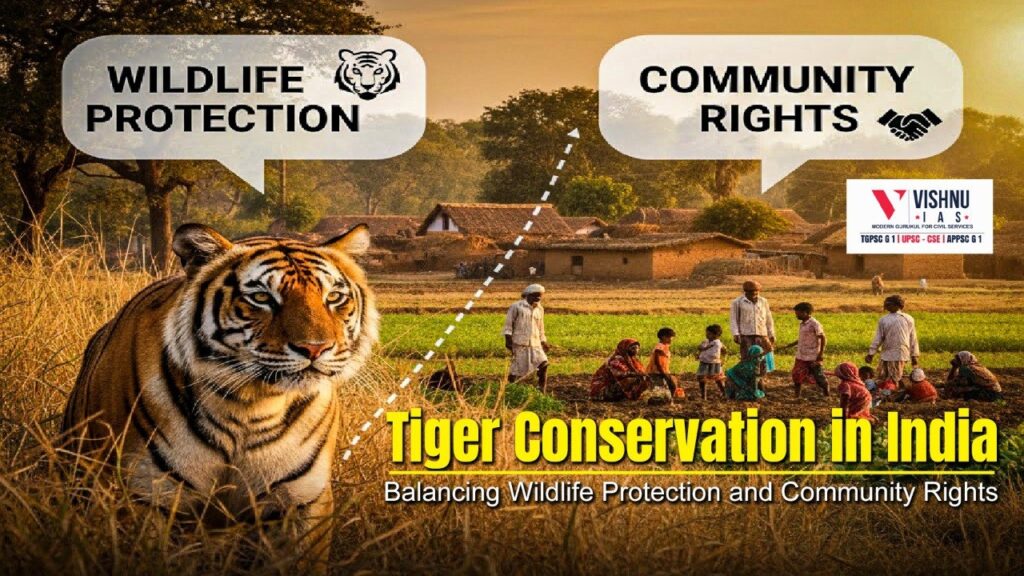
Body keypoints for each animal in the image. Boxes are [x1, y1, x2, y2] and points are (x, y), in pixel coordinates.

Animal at [61, 222, 379, 566]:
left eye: (333, 297)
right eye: (261, 297)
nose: (315, 348)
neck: (250, 406)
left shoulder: (302, 502)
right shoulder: (144, 495)